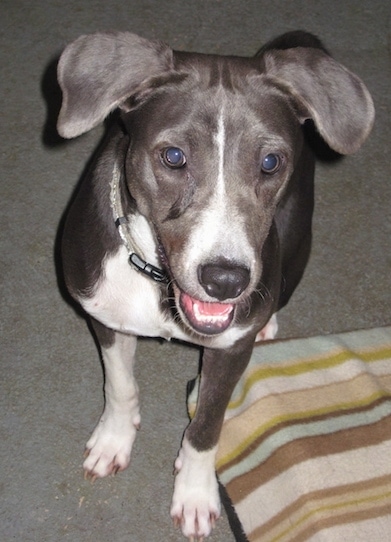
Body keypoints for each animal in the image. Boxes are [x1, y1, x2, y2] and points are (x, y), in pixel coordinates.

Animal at [56, 30, 376, 542]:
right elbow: (119, 385)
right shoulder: (102, 314)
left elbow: (206, 424)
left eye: (270, 161)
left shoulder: (229, 348)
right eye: (173, 157)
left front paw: (194, 491)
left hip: (295, 245)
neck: (158, 282)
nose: (225, 280)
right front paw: (114, 440)